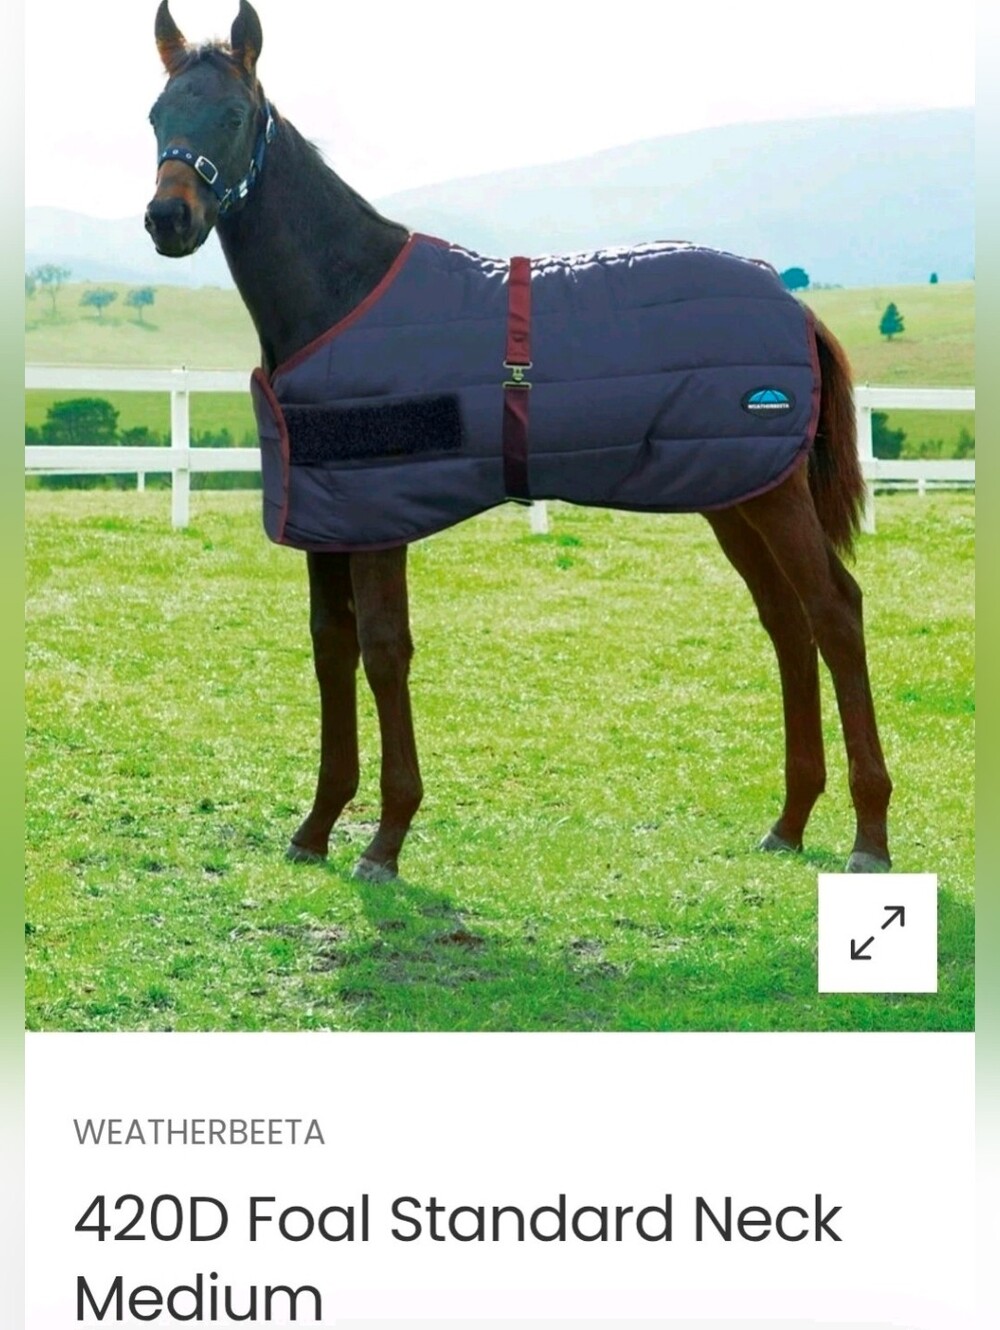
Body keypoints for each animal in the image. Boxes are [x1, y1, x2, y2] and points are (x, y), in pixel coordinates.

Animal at [144, 0, 892, 882]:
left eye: (232, 115)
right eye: (156, 114)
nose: (168, 220)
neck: (344, 294)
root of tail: (793, 303)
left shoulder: (380, 522)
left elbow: (383, 651)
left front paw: (385, 839)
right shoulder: (328, 521)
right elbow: (331, 650)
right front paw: (318, 827)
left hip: (773, 498)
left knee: (835, 611)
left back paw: (870, 836)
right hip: (734, 495)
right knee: (787, 623)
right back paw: (790, 820)